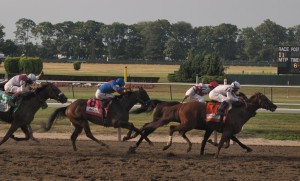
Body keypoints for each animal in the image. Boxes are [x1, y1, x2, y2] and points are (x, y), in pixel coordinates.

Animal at [129, 92, 276, 158]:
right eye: (265, 98)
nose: (274, 106)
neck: (239, 111)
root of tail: (180, 106)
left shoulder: (218, 129)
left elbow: (232, 141)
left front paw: (248, 148)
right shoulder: (227, 130)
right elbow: (223, 142)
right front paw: (215, 153)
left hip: (182, 123)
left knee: (151, 127)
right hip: (186, 123)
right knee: (169, 128)